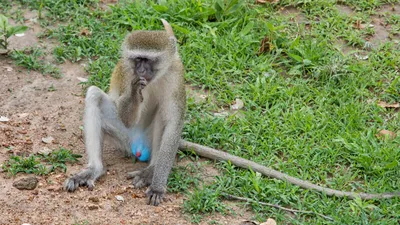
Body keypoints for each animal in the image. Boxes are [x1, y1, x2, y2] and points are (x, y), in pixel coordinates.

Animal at [64, 19, 186, 206]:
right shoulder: (127, 75)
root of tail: (136, 143)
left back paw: (151, 170)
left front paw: (158, 186)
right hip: (122, 138)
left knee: (162, 115)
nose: (141, 71)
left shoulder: (176, 74)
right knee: (94, 96)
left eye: (148, 60)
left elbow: (173, 124)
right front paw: (135, 92)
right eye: (138, 59)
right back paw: (94, 169)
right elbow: (126, 116)